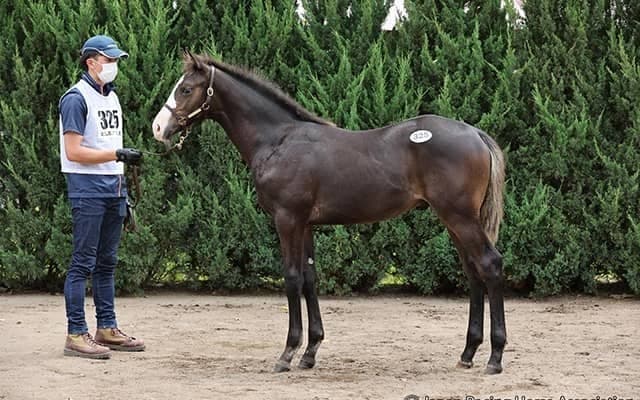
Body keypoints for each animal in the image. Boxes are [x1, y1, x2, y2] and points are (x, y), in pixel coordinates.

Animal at [152, 51, 507, 374]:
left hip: (460, 217)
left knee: (490, 264)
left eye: (185, 89)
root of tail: (476, 134)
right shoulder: (305, 223)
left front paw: (287, 354)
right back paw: (468, 354)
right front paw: (310, 352)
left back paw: (495, 358)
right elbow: (310, 278)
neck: (279, 141)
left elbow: (292, 277)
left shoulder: (287, 219)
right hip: (454, 220)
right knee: (473, 271)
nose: (157, 128)